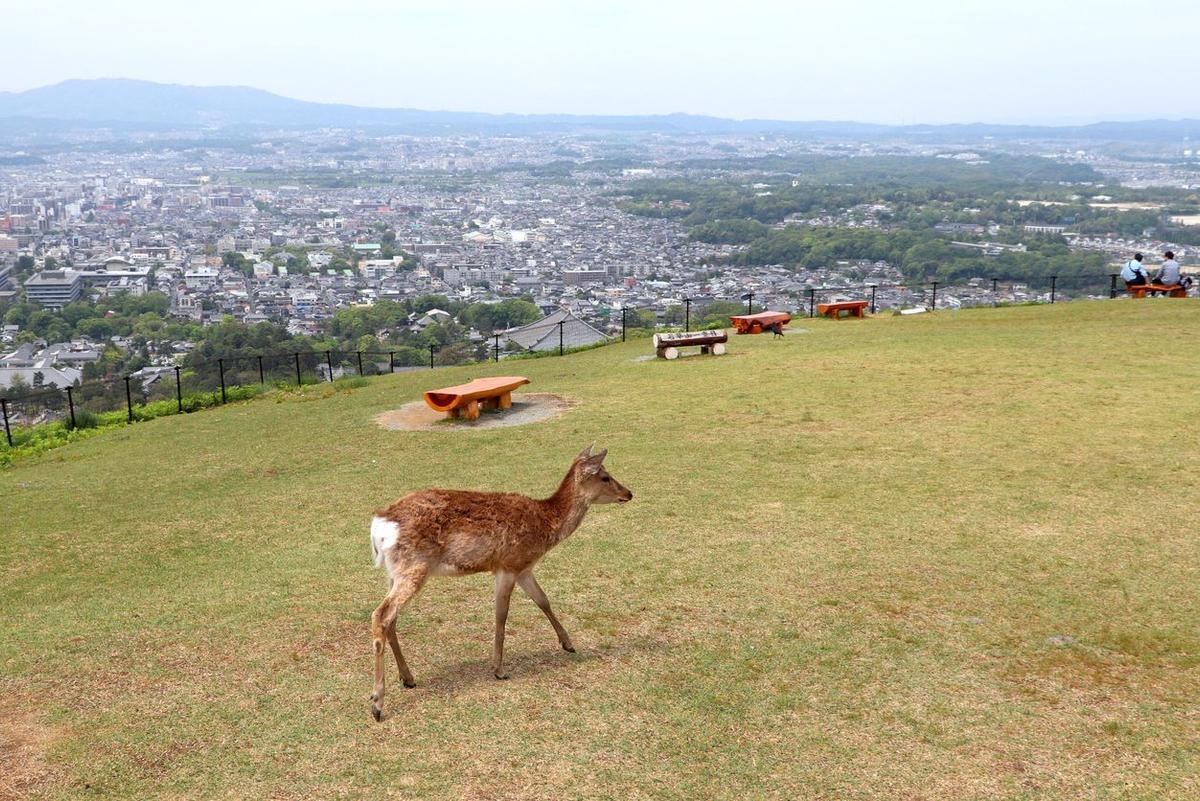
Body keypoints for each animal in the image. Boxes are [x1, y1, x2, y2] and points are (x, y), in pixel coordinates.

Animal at [367, 443, 633, 719]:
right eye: (605, 476)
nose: (629, 493)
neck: (545, 525)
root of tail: (379, 525)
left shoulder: (524, 568)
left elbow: (543, 600)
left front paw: (568, 644)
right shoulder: (508, 565)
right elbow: (501, 614)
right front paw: (499, 670)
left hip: (394, 572)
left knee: (391, 619)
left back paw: (407, 678)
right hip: (414, 567)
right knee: (380, 614)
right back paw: (377, 703)